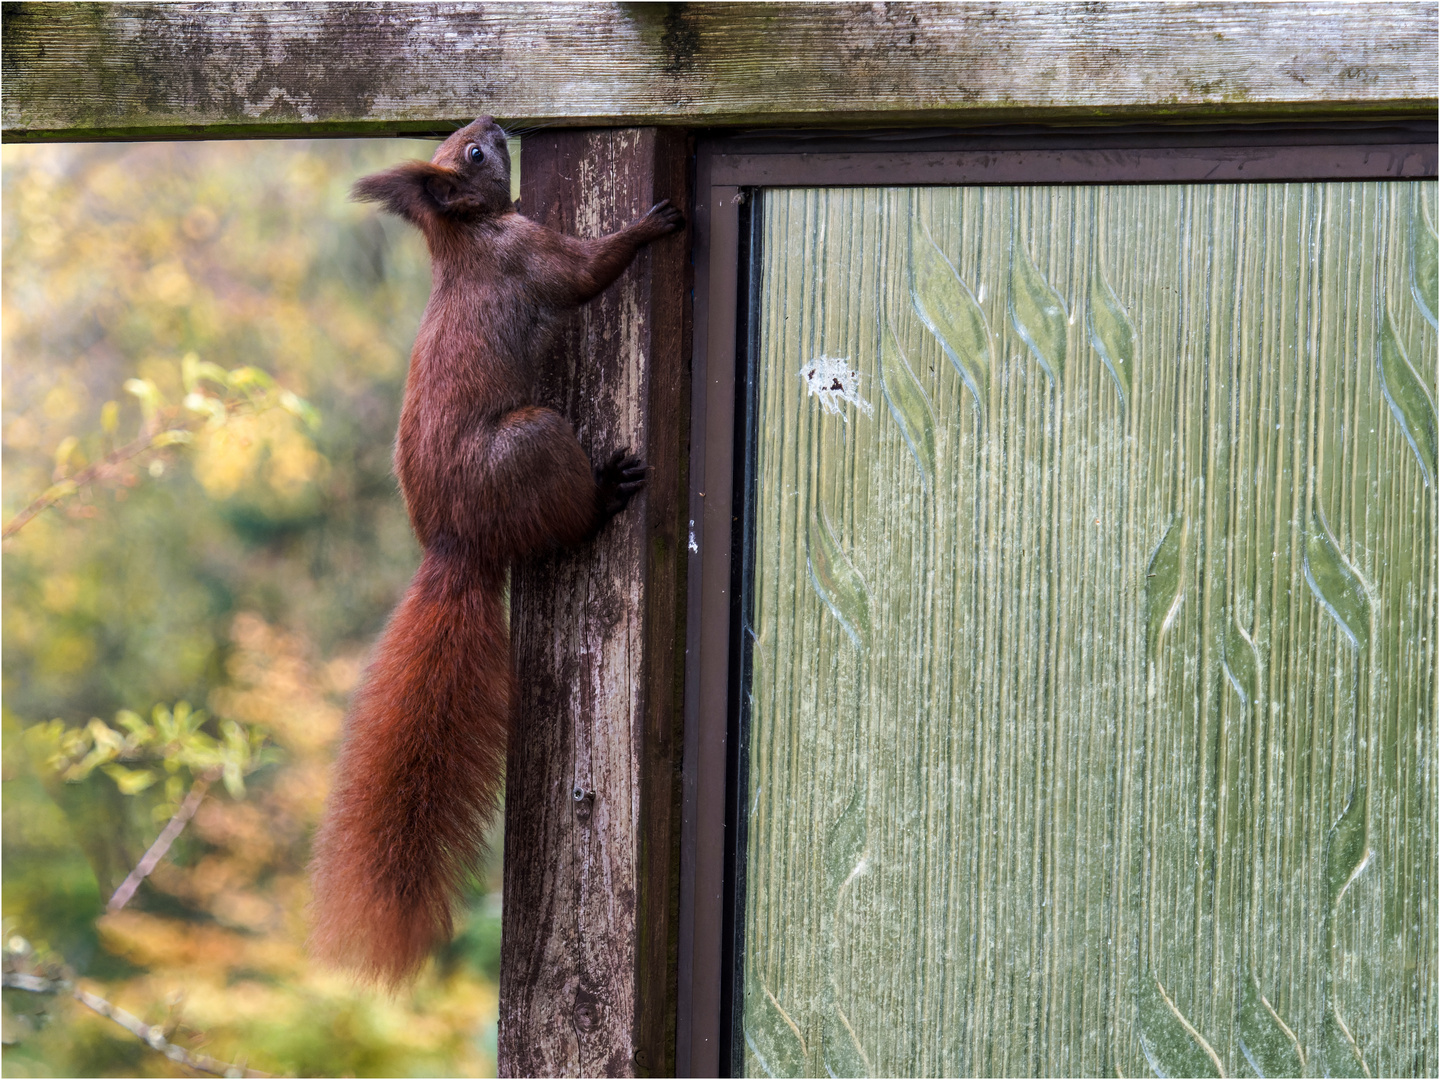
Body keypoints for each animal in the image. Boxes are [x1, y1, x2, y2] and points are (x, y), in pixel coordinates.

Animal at [305, 120, 685, 990]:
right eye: (472, 158)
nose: (493, 126)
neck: (465, 238)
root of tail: (459, 545)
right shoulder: (532, 254)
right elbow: (589, 270)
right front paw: (648, 226)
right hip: (536, 439)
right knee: (568, 517)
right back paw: (607, 493)